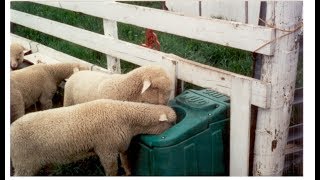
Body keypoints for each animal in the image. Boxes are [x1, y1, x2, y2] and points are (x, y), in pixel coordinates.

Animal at [10, 98, 176, 176]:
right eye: (173, 122)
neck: (126, 116)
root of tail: (12, 128)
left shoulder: (121, 145)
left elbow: (125, 161)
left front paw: (129, 173)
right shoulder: (106, 149)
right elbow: (112, 169)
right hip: (23, 163)